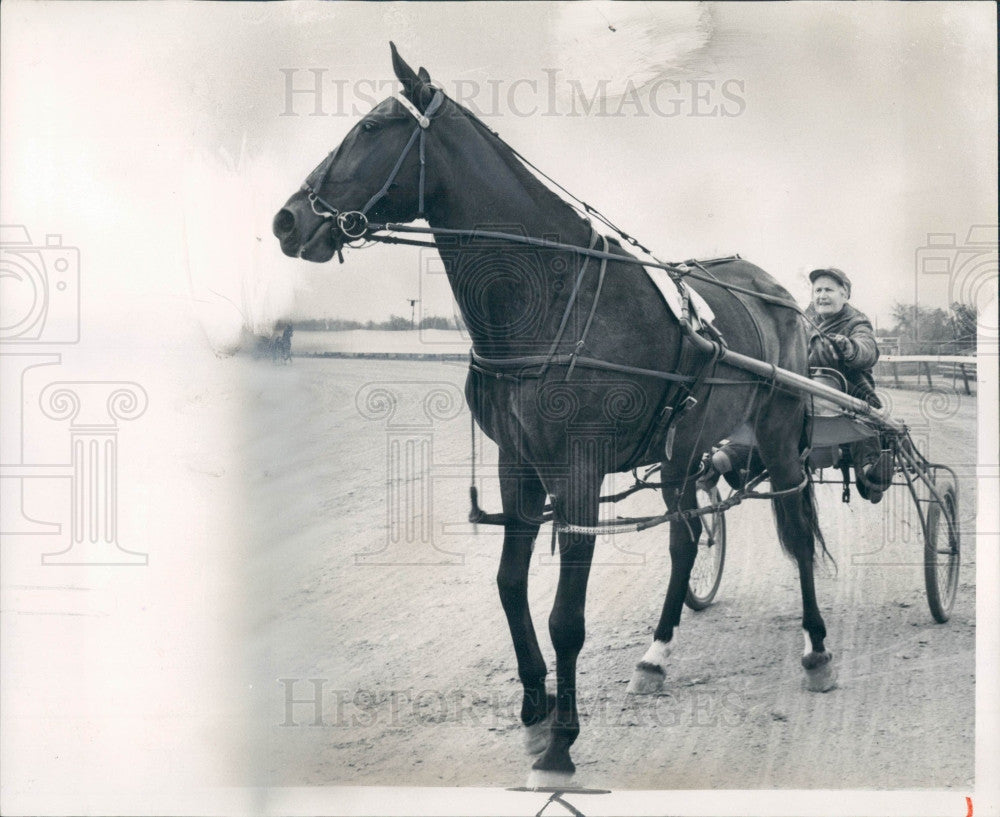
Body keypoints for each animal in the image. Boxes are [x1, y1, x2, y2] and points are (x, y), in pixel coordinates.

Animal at [270, 43, 832, 784]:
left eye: (370, 127)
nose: (287, 220)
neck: (552, 299)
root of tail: (777, 293)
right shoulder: (517, 460)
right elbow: (510, 584)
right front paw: (535, 707)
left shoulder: (579, 469)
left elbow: (568, 615)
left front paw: (562, 740)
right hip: (684, 451)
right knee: (685, 539)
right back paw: (656, 656)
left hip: (779, 431)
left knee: (795, 526)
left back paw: (817, 646)